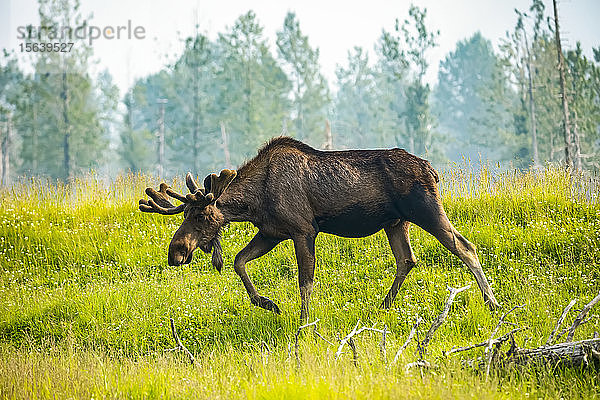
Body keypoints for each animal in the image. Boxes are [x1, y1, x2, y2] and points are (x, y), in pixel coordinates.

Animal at [138, 136, 500, 320]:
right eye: (185, 214)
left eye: (200, 217)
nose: (175, 252)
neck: (254, 201)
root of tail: (433, 170)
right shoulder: (272, 232)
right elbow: (240, 261)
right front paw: (268, 303)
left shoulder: (302, 230)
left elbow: (305, 282)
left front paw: (303, 322)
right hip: (396, 223)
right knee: (407, 259)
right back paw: (382, 306)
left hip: (426, 210)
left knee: (464, 246)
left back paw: (492, 302)